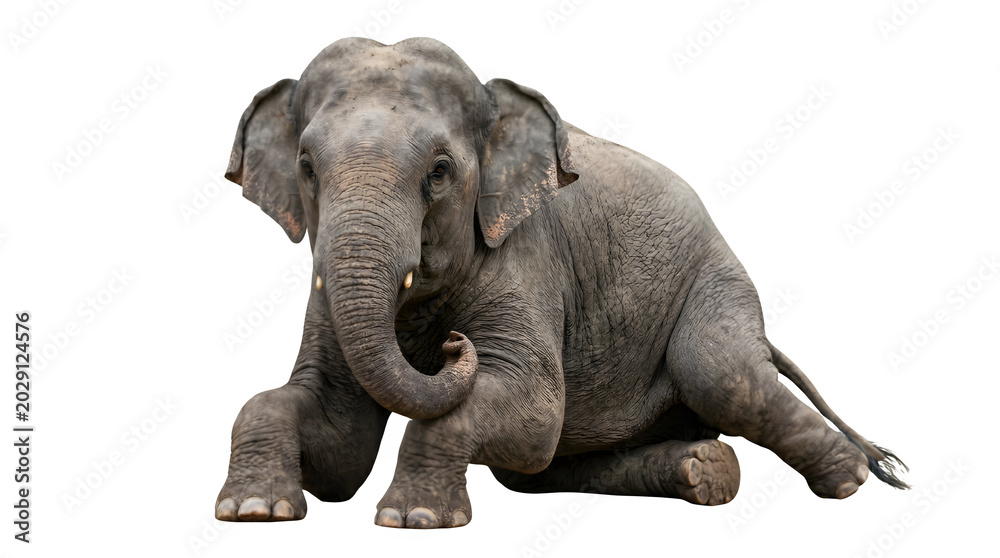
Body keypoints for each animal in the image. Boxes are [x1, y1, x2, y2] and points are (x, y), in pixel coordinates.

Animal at [216, 37, 907, 528]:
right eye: (307, 167)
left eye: (439, 171)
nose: (453, 348)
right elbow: (339, 443)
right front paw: (253, 512)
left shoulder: (527, 258)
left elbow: (535, 407)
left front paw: (413, 519)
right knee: (540, 470)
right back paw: (702, 471)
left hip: (718, 283)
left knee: (720, 372)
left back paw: (847, 480)